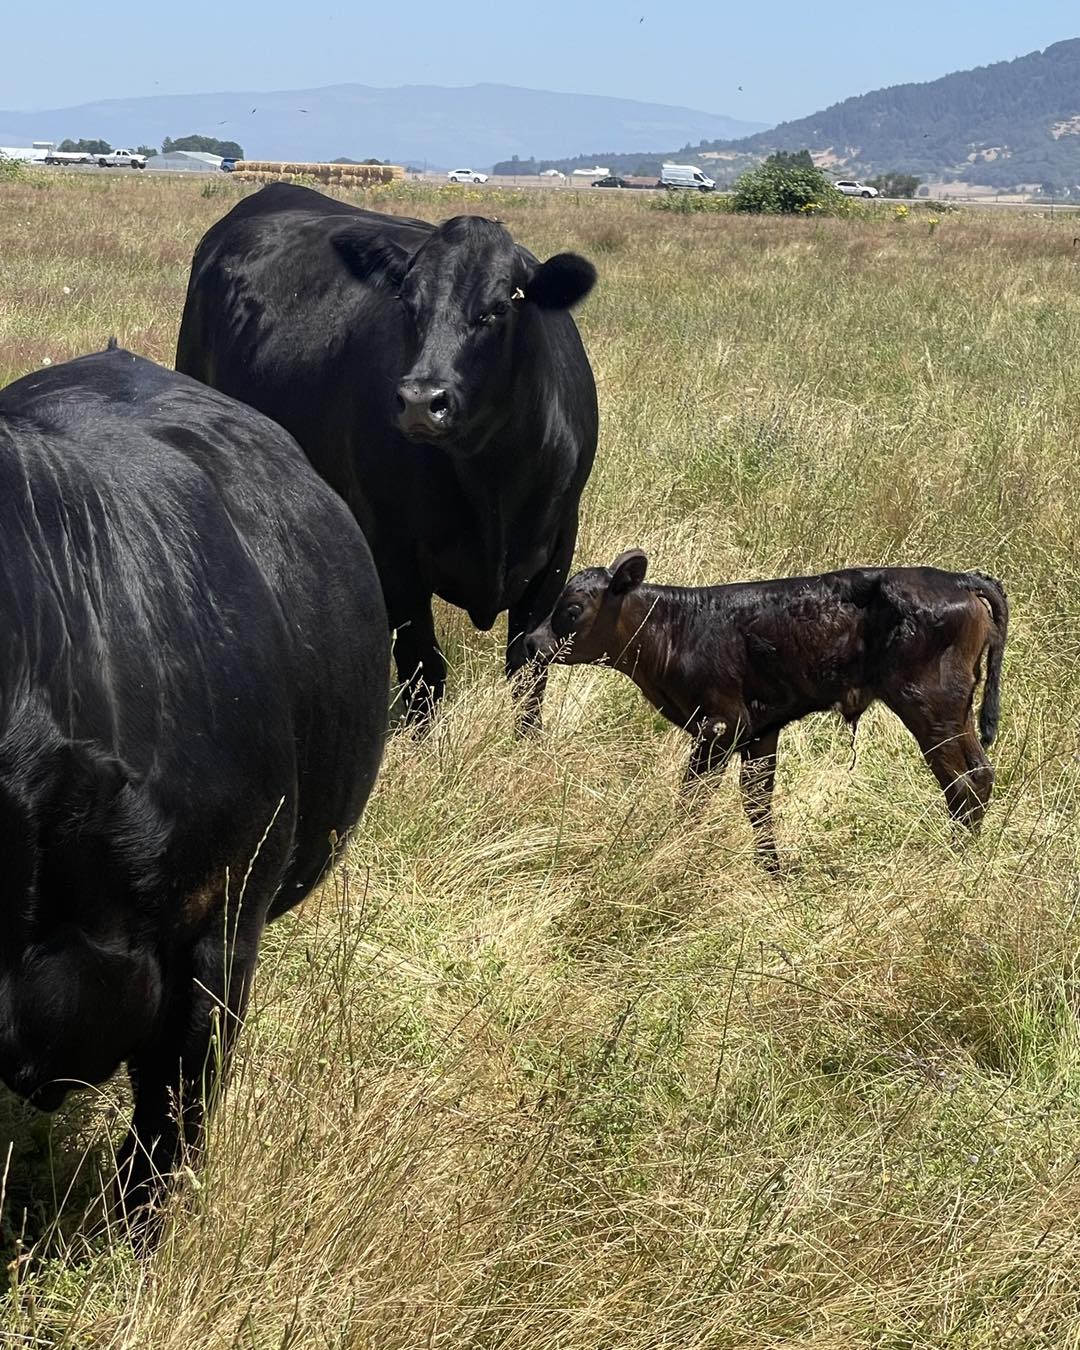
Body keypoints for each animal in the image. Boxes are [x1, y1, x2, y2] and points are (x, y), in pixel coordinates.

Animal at [175, 182, 598, 731]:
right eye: (407, 304)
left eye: (497, 308)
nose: (420, 400)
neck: (491, 477)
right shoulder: (393, 551)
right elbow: (423, 670)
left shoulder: (555, 551)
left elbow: (529, 669)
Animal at [525, 551, 1008, 871]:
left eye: (571, 610)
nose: (531, 641)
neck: (676, 627)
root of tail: (959, 579)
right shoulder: (760, 730)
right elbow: (757, 800)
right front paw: (772, 869)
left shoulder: (720, 724)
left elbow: (692, 799)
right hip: (953, 707)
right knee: (978, 773)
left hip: (930, 704)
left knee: (964, 781)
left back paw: (952, 859)